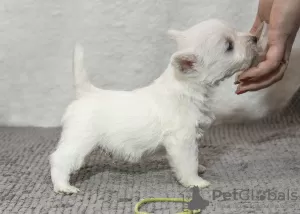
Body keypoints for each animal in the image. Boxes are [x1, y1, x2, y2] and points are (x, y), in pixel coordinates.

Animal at [49, 18, 258, 194]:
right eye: (229, 46)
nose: (255, 38)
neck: (185, 87)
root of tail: (86, 93)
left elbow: (195, 157)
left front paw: (199, 169)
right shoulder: (182, 140)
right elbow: (188, 162)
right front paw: (195, 181)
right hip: (80, 139)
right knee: (59, 159)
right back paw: (64, 186)